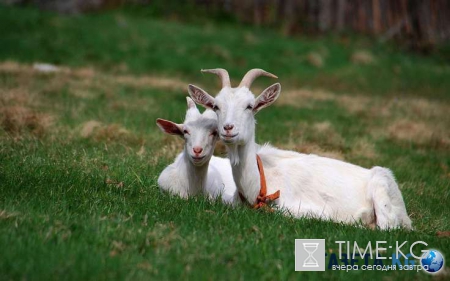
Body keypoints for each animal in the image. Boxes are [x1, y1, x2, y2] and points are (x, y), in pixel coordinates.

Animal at [188, 68, 414, 230]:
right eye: (216, 106)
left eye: (250, 106)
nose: (228, 128)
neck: (258, 183)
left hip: (381, 192)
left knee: (387, 226)